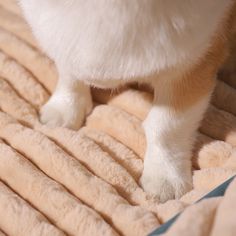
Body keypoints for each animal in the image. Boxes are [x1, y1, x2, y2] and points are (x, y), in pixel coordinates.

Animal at [18, 0, 236, 203]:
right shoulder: (62, 41)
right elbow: (68, 72)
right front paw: (64, 107)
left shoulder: (192, 65)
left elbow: (167, 126)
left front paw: (164, 175)